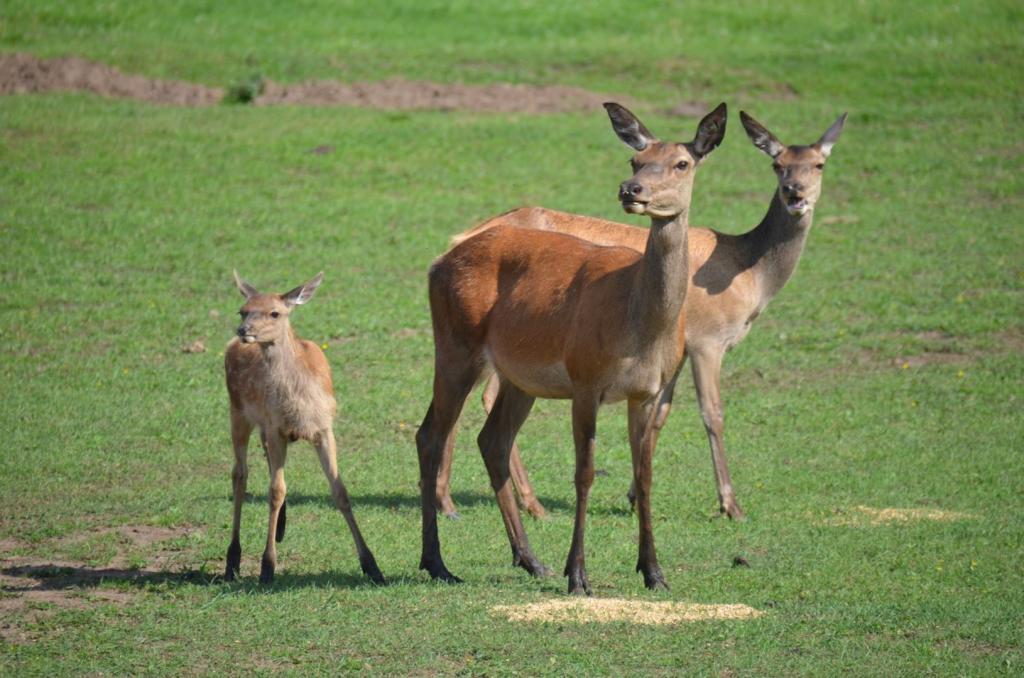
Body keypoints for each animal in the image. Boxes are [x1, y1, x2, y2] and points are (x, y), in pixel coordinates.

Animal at [224, 270, 385, 585]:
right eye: (243, 309)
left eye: (275, 312)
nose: (243, 329)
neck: (300, 402)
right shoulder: (276, 427)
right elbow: (275, 491)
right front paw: (267, 567)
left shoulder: (323, 428)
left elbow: (340, 491)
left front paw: (372, 566)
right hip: (238, 413)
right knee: (240, 474)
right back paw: (232, 560)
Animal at [415, 100, 729, 594]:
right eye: (635, 159)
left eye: (682, 163)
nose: (631, 190)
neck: (640, 328)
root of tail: (438, 260)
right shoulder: (586, 380)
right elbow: (584, 474)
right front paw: (578, 575)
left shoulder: (647, 391)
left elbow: (645, 475)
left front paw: (654, 573)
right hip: (455, 347)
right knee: (430, 434)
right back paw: (436, 562)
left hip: (518, 378)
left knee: (492, 440)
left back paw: (530, 560)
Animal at [434, 109, 847, 522]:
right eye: (777, 164)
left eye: (819, 164)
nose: (795, 192)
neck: (749, 276)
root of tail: (458, 239)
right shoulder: (707, 339)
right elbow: (712, 413)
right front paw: (731, 505)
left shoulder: (673, 352)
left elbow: (660, 413)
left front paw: (634, 495)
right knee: (477, 396)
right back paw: (503, 502)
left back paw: (457, 501)